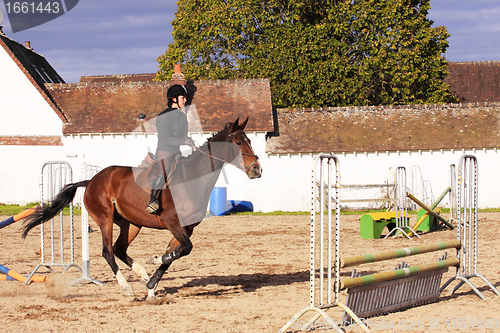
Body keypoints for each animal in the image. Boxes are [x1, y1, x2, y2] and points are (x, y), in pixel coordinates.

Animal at [22, 116, 262, 298]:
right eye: (238, 143)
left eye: (249, 140)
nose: (257, 169)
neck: (192, 177)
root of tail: (91, 181)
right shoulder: (172, 222)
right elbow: (183, 249)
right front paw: (155, 261)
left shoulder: (186, 228)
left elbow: (176, 252)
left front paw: (151, 284)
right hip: (105, 218)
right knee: (108, 251)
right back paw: (126, 286)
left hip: (131, 224)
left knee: (119, 249)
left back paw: (142, 273)